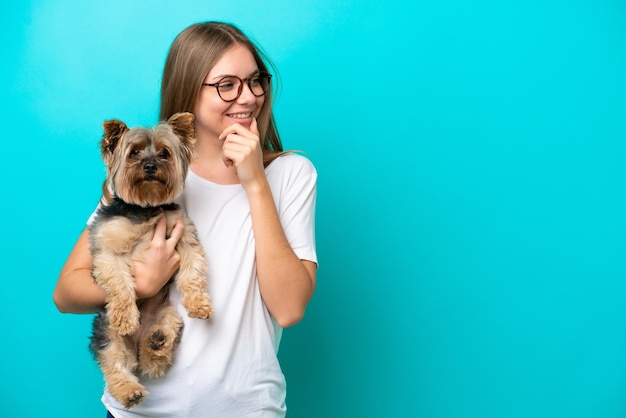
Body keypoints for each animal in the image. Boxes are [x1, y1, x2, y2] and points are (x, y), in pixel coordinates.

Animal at [88, 111, 213, 408]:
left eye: (164, 153)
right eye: (134, 152)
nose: (149, 166)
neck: (146, 206)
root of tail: (135, 346)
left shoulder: (184, 237)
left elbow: (193, 272)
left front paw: (199, 303)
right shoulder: (109, 251)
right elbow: (120, 284)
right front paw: (125, 317)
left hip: (169, 314)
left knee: (152, 360)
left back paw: (156, 343)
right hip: (105, 330)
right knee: (115, 362)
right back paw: (129, 389)